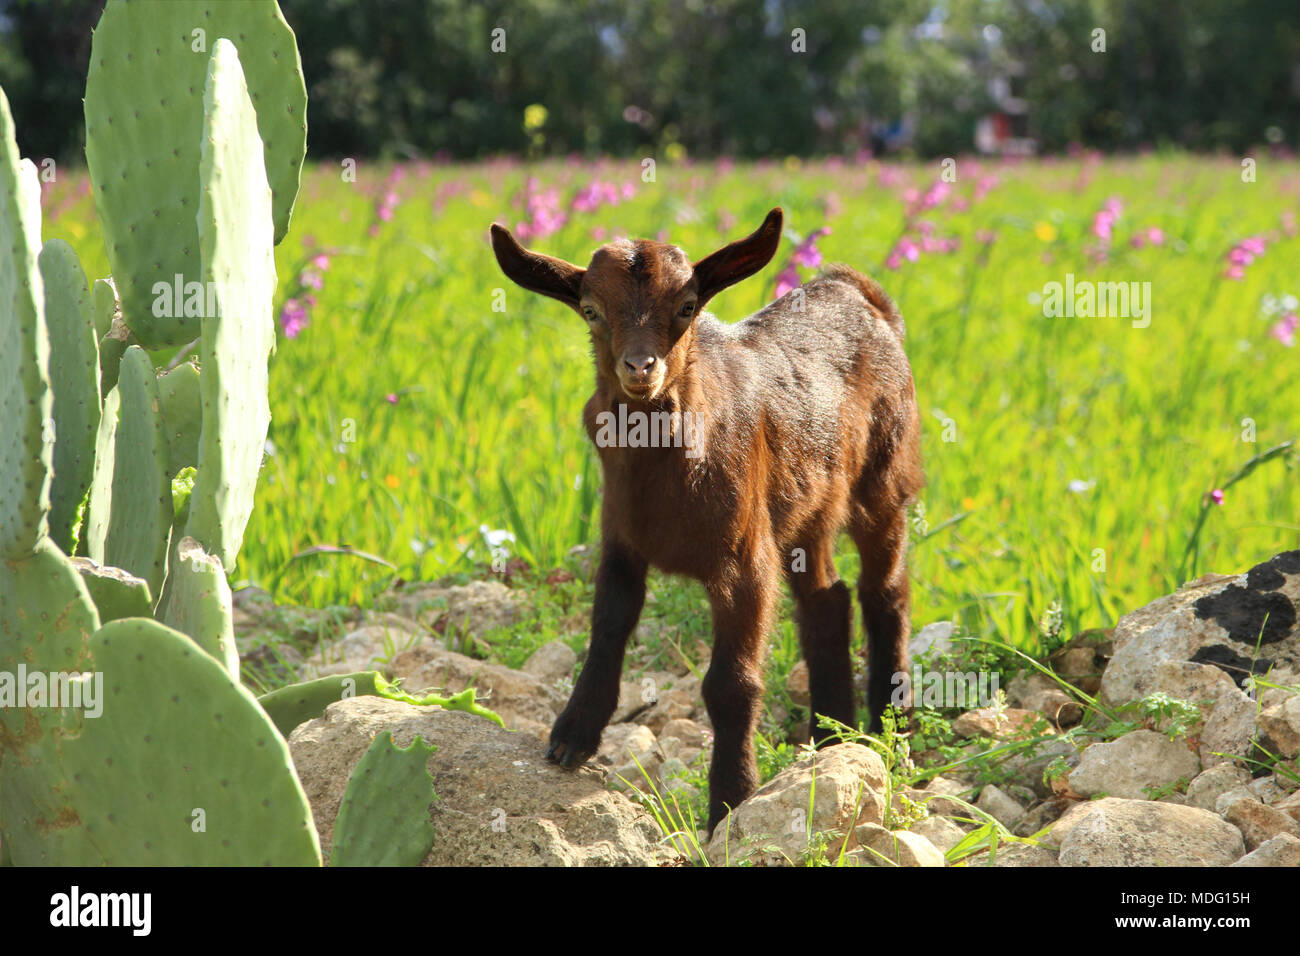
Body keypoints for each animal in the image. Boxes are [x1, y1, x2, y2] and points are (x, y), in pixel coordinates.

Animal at [488, 209, 925, 837]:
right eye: (590, 310)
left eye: (688, 305)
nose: (640, 369)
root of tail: (855, 289)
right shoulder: (620, 541)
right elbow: (607, 630)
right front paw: (572, 736)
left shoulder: (746, 561)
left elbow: (730, 684)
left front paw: (729, 801)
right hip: (810, 503)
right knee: (827, 597)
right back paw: (833, 736)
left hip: (885, 477)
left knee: (884, 590)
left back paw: (892, 728)